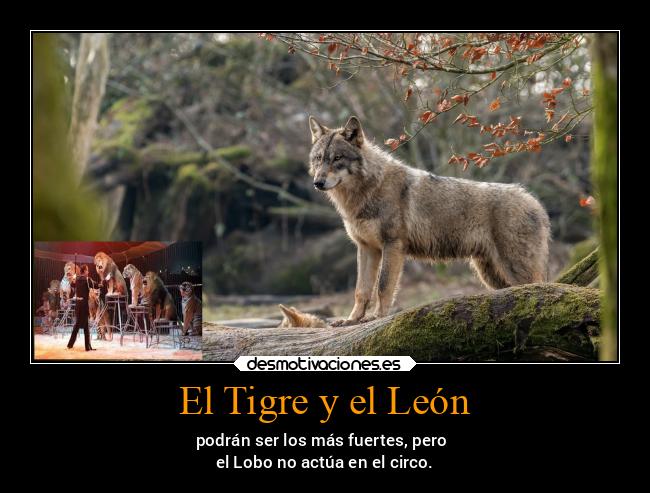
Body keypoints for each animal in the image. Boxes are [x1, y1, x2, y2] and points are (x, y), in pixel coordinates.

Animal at [308, 115, 550, 326]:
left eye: (337, 158)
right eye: (319, 158)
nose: (317, 182)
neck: (366, 191)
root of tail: (535, 203)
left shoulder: (392, 245)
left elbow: (383, 286)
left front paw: (376, 317)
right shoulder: (366, 248)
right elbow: (361, 290)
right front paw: (351, 320)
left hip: (512, 269)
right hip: (491, 275)